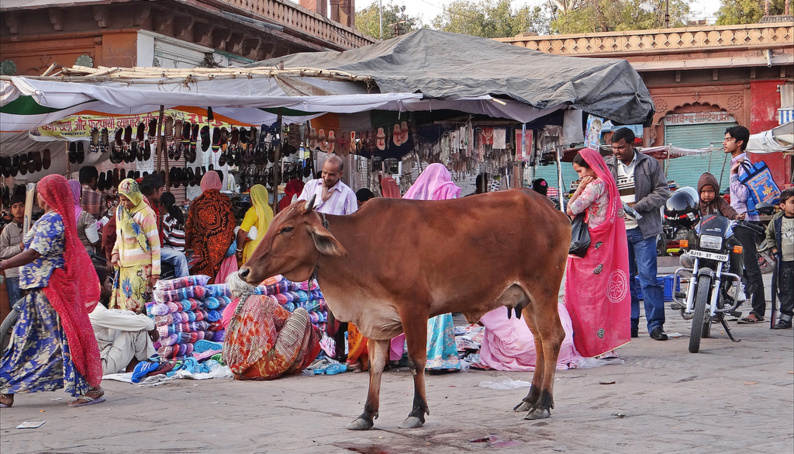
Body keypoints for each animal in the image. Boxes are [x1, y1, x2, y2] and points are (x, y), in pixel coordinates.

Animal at [239, 188, 571, 430]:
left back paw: (543, 404)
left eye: (287, 229)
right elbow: (375, 367)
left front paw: (417, 412)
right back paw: (531, 398)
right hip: (526, 299)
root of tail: (553, 209)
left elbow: (416, 361)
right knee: (540, 342)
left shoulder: (414, 308)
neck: (360, 246)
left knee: (553, 337)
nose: (244, 271)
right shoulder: (374, 318)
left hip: (543, 290)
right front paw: (366, 414)